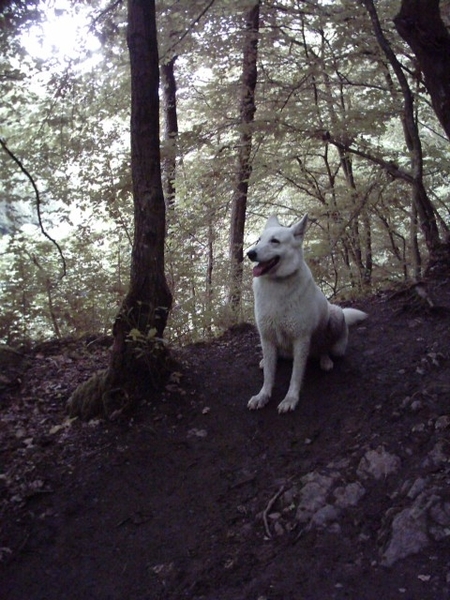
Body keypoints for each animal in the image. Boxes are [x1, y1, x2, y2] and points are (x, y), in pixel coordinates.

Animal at [248, 213, 368, 414]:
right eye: (258, 240)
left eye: (275, 241)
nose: (250, 253)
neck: (277, 285)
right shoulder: (266, 336)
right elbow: (269, 376)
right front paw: (262, 396)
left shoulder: (301, 339)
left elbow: (295, 375)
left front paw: (290, 399)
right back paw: (265, 361)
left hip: (336, 316)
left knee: (325, 348)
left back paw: (325, 360)